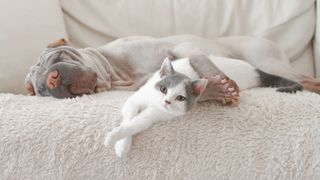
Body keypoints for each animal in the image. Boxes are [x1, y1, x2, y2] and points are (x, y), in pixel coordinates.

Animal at [104, 54, 302, 158]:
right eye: (163, 89)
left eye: (180, 98)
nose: (166, 101)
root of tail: (253, 69)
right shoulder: (136, 99)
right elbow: (129, 114)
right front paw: (121, 144)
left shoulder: (158, 114)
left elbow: (138, 123)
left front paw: (119, 142)